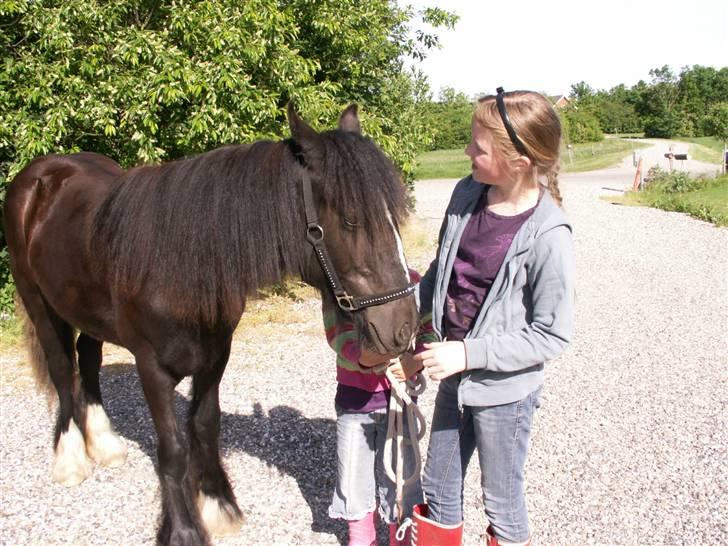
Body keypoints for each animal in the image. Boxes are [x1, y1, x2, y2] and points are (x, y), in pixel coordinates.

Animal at [2, 104, 418, 540]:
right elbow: (172, 448)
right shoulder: (151, 367)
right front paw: (184, 531)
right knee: (63, 371)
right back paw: (71, 459)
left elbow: (204, 428)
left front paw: (218, 506)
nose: (404, 328)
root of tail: (41, 172)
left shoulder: (215, 358)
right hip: (39, 302)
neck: (179, 262)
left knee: (88, 357)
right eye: (353, 220)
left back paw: (105, 443)